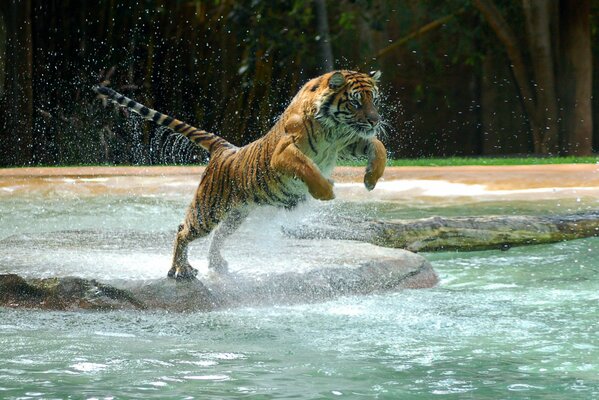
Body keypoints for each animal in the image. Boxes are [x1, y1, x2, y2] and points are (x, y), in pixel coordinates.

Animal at [91, 69, 386, 282]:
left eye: (374, 99)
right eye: (356, 101)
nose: (375, 120)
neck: (333, 130)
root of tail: (224, 149)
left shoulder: (348, 143)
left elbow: (378, 146)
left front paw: (371, 179)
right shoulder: (285, 152)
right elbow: (307, 167)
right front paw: (326, 190)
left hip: (236, 214)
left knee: (218, 236)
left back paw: (217, 265)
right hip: (208, 210)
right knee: (182, 230)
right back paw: (181, 271)